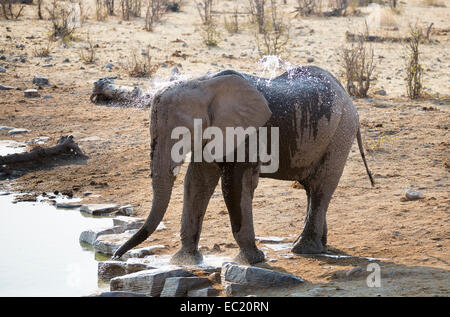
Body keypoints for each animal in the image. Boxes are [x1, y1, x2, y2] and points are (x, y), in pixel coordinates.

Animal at [113, 66, 376, 264]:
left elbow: (235, 185)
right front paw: (184, 261)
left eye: (183, 133)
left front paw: (253, 260)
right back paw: (320, 246)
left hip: (341, 132)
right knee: (312, 188)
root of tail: (348, 97)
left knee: (321, 186)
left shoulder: (247, 134)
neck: (204, 83)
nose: (116, 255)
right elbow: (197, 182)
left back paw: (303, 250)